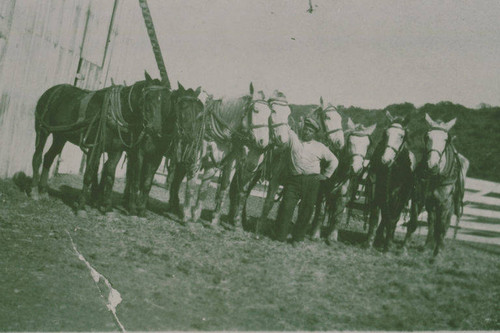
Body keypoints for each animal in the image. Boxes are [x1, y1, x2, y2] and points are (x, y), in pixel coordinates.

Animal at [31, 71, 166, 217]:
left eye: (163, 102)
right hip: (43, 130)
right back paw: (34, 190)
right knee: (37, 157)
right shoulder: (94, 147)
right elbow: (89, 174)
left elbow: (110, 176)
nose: (156, 130)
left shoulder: (116, 150)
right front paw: (81, 206)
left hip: (60, 136)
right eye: (148, 98)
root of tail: (52, 90)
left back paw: (43, 190)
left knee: (49, 157)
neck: (116, 112)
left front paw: (107, 207)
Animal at [124, 83, 204, 217]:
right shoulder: (140, 152)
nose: (192, 137)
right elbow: (137, 179)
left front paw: (173, 206)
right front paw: (134, 207)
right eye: (183, 106)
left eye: (199, 110)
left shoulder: (169, 159)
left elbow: (169, 184)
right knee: (131, 174)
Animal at [167, 82, 274, 224]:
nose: (264, 142)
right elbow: (191, 187)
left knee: (176, 181)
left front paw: (196, 216)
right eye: (256, 110)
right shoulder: (195, 161)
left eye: (270, 115)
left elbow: (204, 190)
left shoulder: (214, 164)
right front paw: (187, 216)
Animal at [364, 111, 414, 249]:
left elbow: (392, 218)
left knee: (392, 217)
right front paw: (369, 242)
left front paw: (388, 244)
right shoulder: (376, 190)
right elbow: (375, 216)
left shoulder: (398, 195)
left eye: (402, 136)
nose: (386, 160)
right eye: (386, 134)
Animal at [402, 113, 468, 258]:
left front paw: (437, 253)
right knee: (431, 221)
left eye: (446, 140)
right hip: (431, 204)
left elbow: (441, 227)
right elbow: (413, 222)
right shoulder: (418, 198)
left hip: (449, 206)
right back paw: (427, 245)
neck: (435, 176)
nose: (432, 166)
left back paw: (439, 246)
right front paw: (404, 248)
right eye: (427, 137)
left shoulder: (444, 204)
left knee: (444, 224)